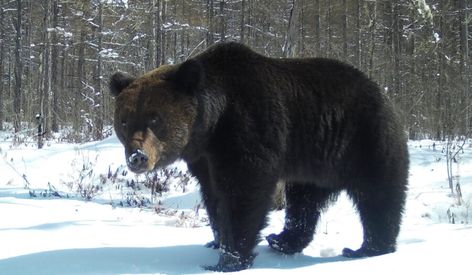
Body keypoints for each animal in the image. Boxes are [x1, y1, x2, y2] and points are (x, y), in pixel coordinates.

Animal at [109, 42, 408, 272]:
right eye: (124, 120)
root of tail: (381, 90)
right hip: (314, 159)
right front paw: (216, 240)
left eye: (155, 118)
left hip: (363, 139)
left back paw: (368, 248)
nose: (137, 157)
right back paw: (283, 240)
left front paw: (228, 259)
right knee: (304, 201)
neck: (212, 125)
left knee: (378, 194)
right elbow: (213, 196)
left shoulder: (249, 130)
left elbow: (244, 192)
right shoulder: (204, 159)